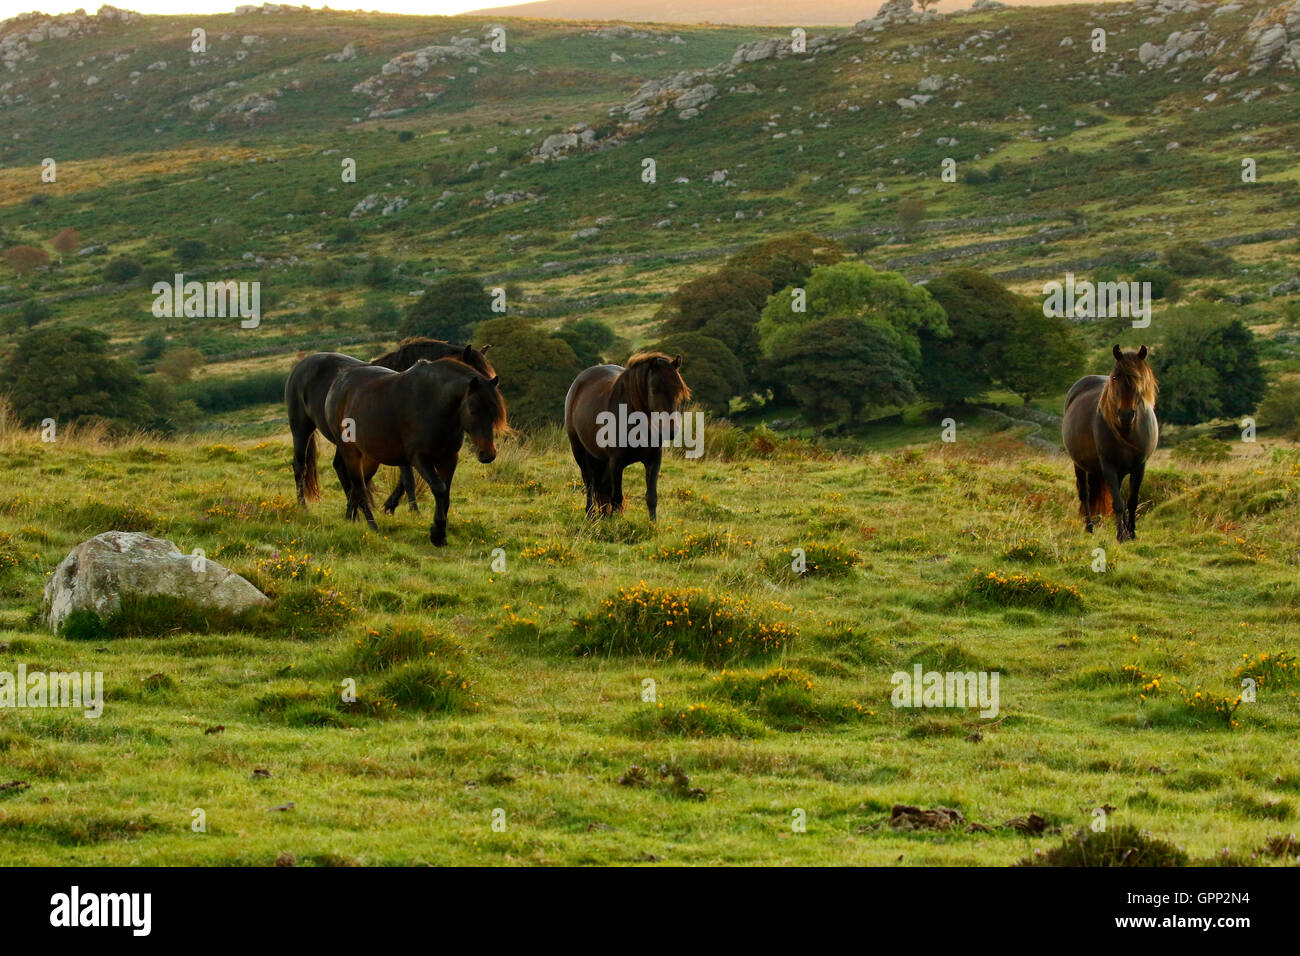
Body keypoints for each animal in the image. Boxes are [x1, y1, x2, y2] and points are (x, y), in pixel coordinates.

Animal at [284, 338, 491, 515]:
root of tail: (299, 367)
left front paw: (390, 505)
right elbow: (408, 478)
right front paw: (413, 510)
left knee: (341, 467)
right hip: (301, 429)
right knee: (300, 466)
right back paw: (304, 508)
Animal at [325, 356, 506, 548]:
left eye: (494, 412)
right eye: (473, 410)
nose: (488, 454)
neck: (433, 404)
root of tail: (339, 382)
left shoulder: (449, 459)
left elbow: (446, 494)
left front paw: (440, 534)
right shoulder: (419, 458)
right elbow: (439, 488)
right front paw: (437, 533)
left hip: (370, 458)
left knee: (356, 488)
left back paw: (350, 519)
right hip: (350, 452)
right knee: (359, 488)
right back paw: (373, 527)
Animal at [566, 351, 696, 520]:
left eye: (679, 391)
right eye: (654, 390)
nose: (670, 431)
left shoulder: (653, 460)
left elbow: (651, 497)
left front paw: (652, 525)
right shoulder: (616, 463)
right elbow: (616, 498)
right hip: (579, 451)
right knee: (589, 483)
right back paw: (591, 515)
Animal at [1066, 345, 1159, 541]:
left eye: (1139, 378)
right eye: (1115, 377)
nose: (1125, 415)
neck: (1128, 431)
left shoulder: (1139, 466)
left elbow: (1131, 501)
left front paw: (1131, 533)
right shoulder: (1108, 466)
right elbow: (1117, 503)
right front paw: (1121, 535)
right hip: (1079, 465)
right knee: (1084, 494)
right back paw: (1090, 528)